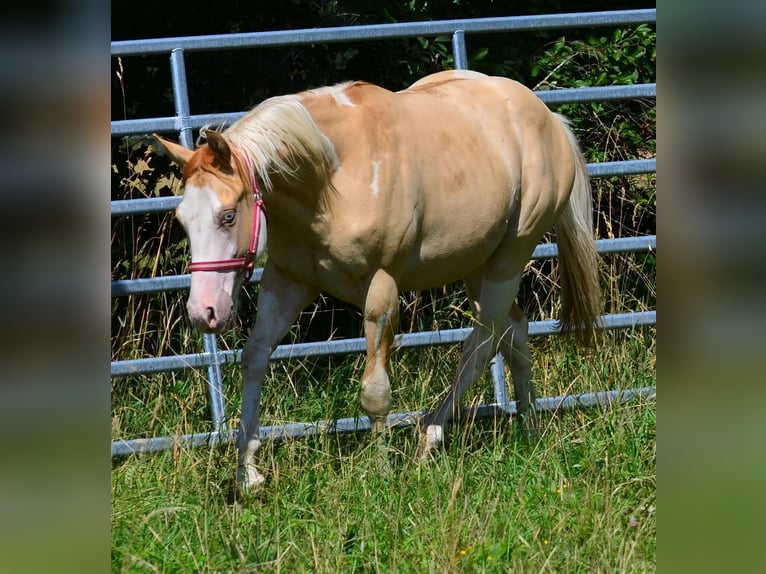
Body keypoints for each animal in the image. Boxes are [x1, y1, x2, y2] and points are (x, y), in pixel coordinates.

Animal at [154, 69, 601, 493]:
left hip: (509, 259)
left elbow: (375, 391)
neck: (332, 177)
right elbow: (254, 358)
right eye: (182, 219)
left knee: (481, 344)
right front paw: (247, 473)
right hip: (479, 265)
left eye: (228, 215)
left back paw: (429, 438)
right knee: (513, 333)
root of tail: (550, 120)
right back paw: (528, 430)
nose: (203, 312)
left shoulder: (381, 288)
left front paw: (381, 471)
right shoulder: (287, 282)